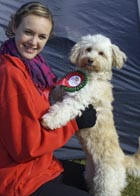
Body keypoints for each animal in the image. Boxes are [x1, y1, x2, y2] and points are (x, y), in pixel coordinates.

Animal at [41, 34, 140, 196]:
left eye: (101, 53)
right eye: (88, 49)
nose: (90, 60)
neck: (92, 77)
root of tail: (124, 160)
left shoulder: (79, 100)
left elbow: (64, 109)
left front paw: (50, 120)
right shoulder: (64, 91)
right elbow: (57, 91)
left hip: (107, 182)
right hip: (90, 175)